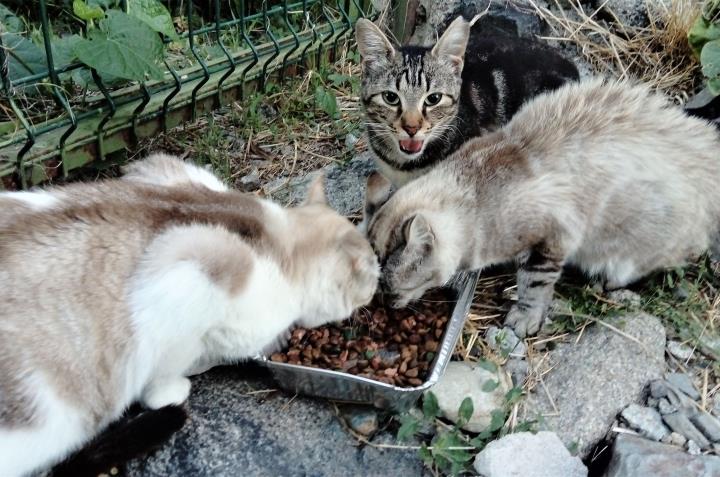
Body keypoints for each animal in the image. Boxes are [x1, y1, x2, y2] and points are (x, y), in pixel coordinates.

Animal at [0, 153, 380, 476]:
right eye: (372, 283)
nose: (375, 297)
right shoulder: (188, 272)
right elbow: (169, 367)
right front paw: (177, 386)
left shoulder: (163, 170)